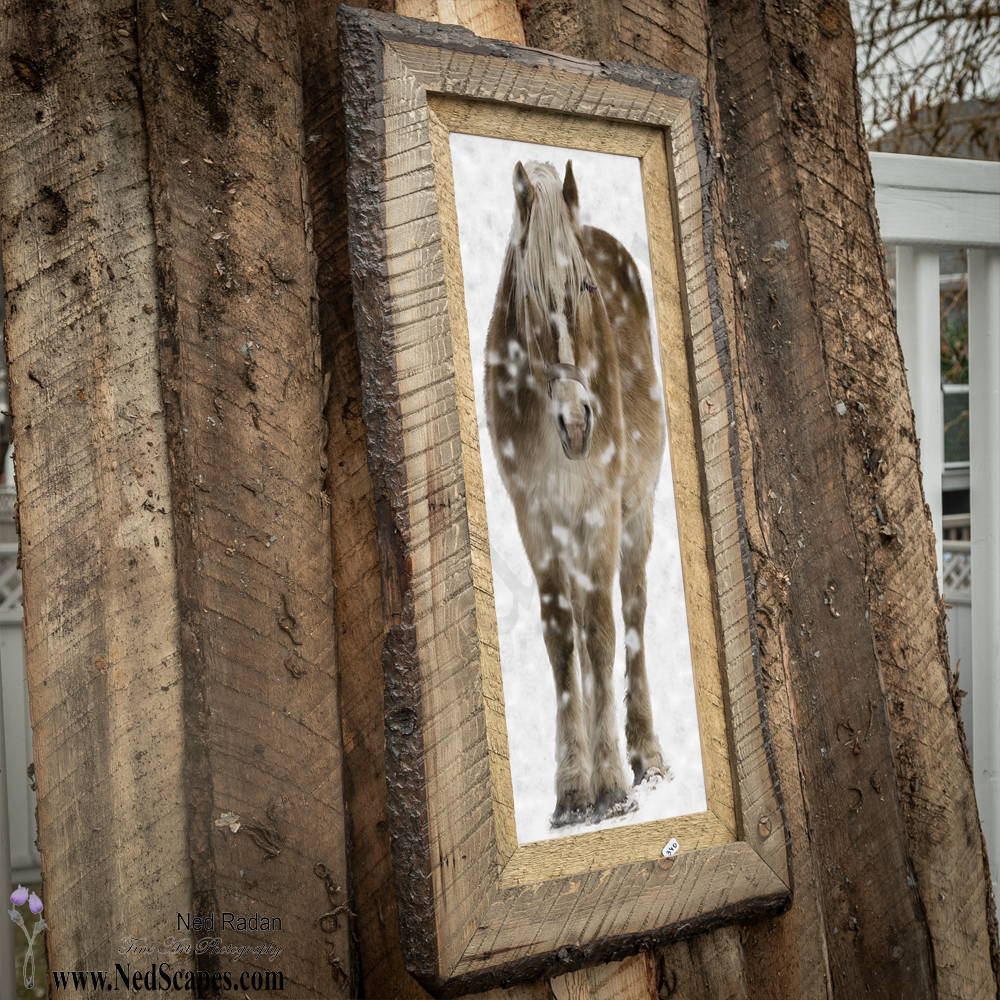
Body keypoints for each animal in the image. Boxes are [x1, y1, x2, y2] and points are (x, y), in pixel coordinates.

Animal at [482, 160, 664, 824]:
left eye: (586, 287)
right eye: (529, 298)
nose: (578, 421)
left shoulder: (599, 514)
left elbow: (603, 634)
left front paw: (610, 781)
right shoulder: (537, 522)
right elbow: (564, 642)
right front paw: (572, 788)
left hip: (636, 516)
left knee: (630, 616)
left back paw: (646, 755)